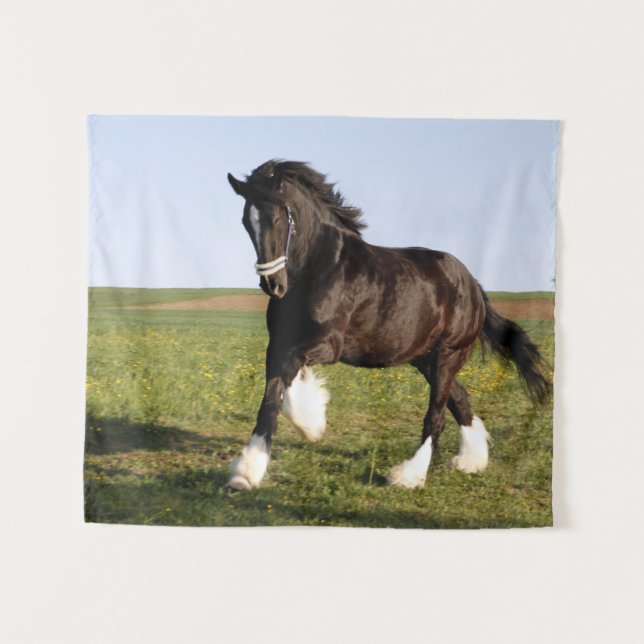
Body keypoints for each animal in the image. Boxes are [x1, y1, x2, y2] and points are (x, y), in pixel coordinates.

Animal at [226, 160, 550, 490]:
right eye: (246, 221)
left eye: (277, 217)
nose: (273, 285)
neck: (318, 267)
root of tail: (473, 285)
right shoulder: (278, 343)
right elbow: (272, 397)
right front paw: (247, 472)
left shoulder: (329, 344)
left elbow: (288, 376)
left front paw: (310, 423)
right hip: (426, 360)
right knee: (460, 401)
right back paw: (470, 461)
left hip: (448, 356)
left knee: (436, 417)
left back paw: (408, 475)